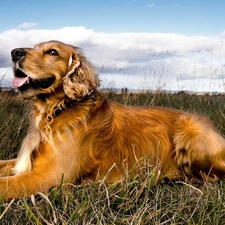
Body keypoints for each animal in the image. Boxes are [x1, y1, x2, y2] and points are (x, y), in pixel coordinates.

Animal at [0, 40, 225, 199]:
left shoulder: (51, 175)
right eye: (34, 47)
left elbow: (4, 184)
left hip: (190, 134)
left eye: (52, 52)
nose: (14, 52)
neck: (56, 111)